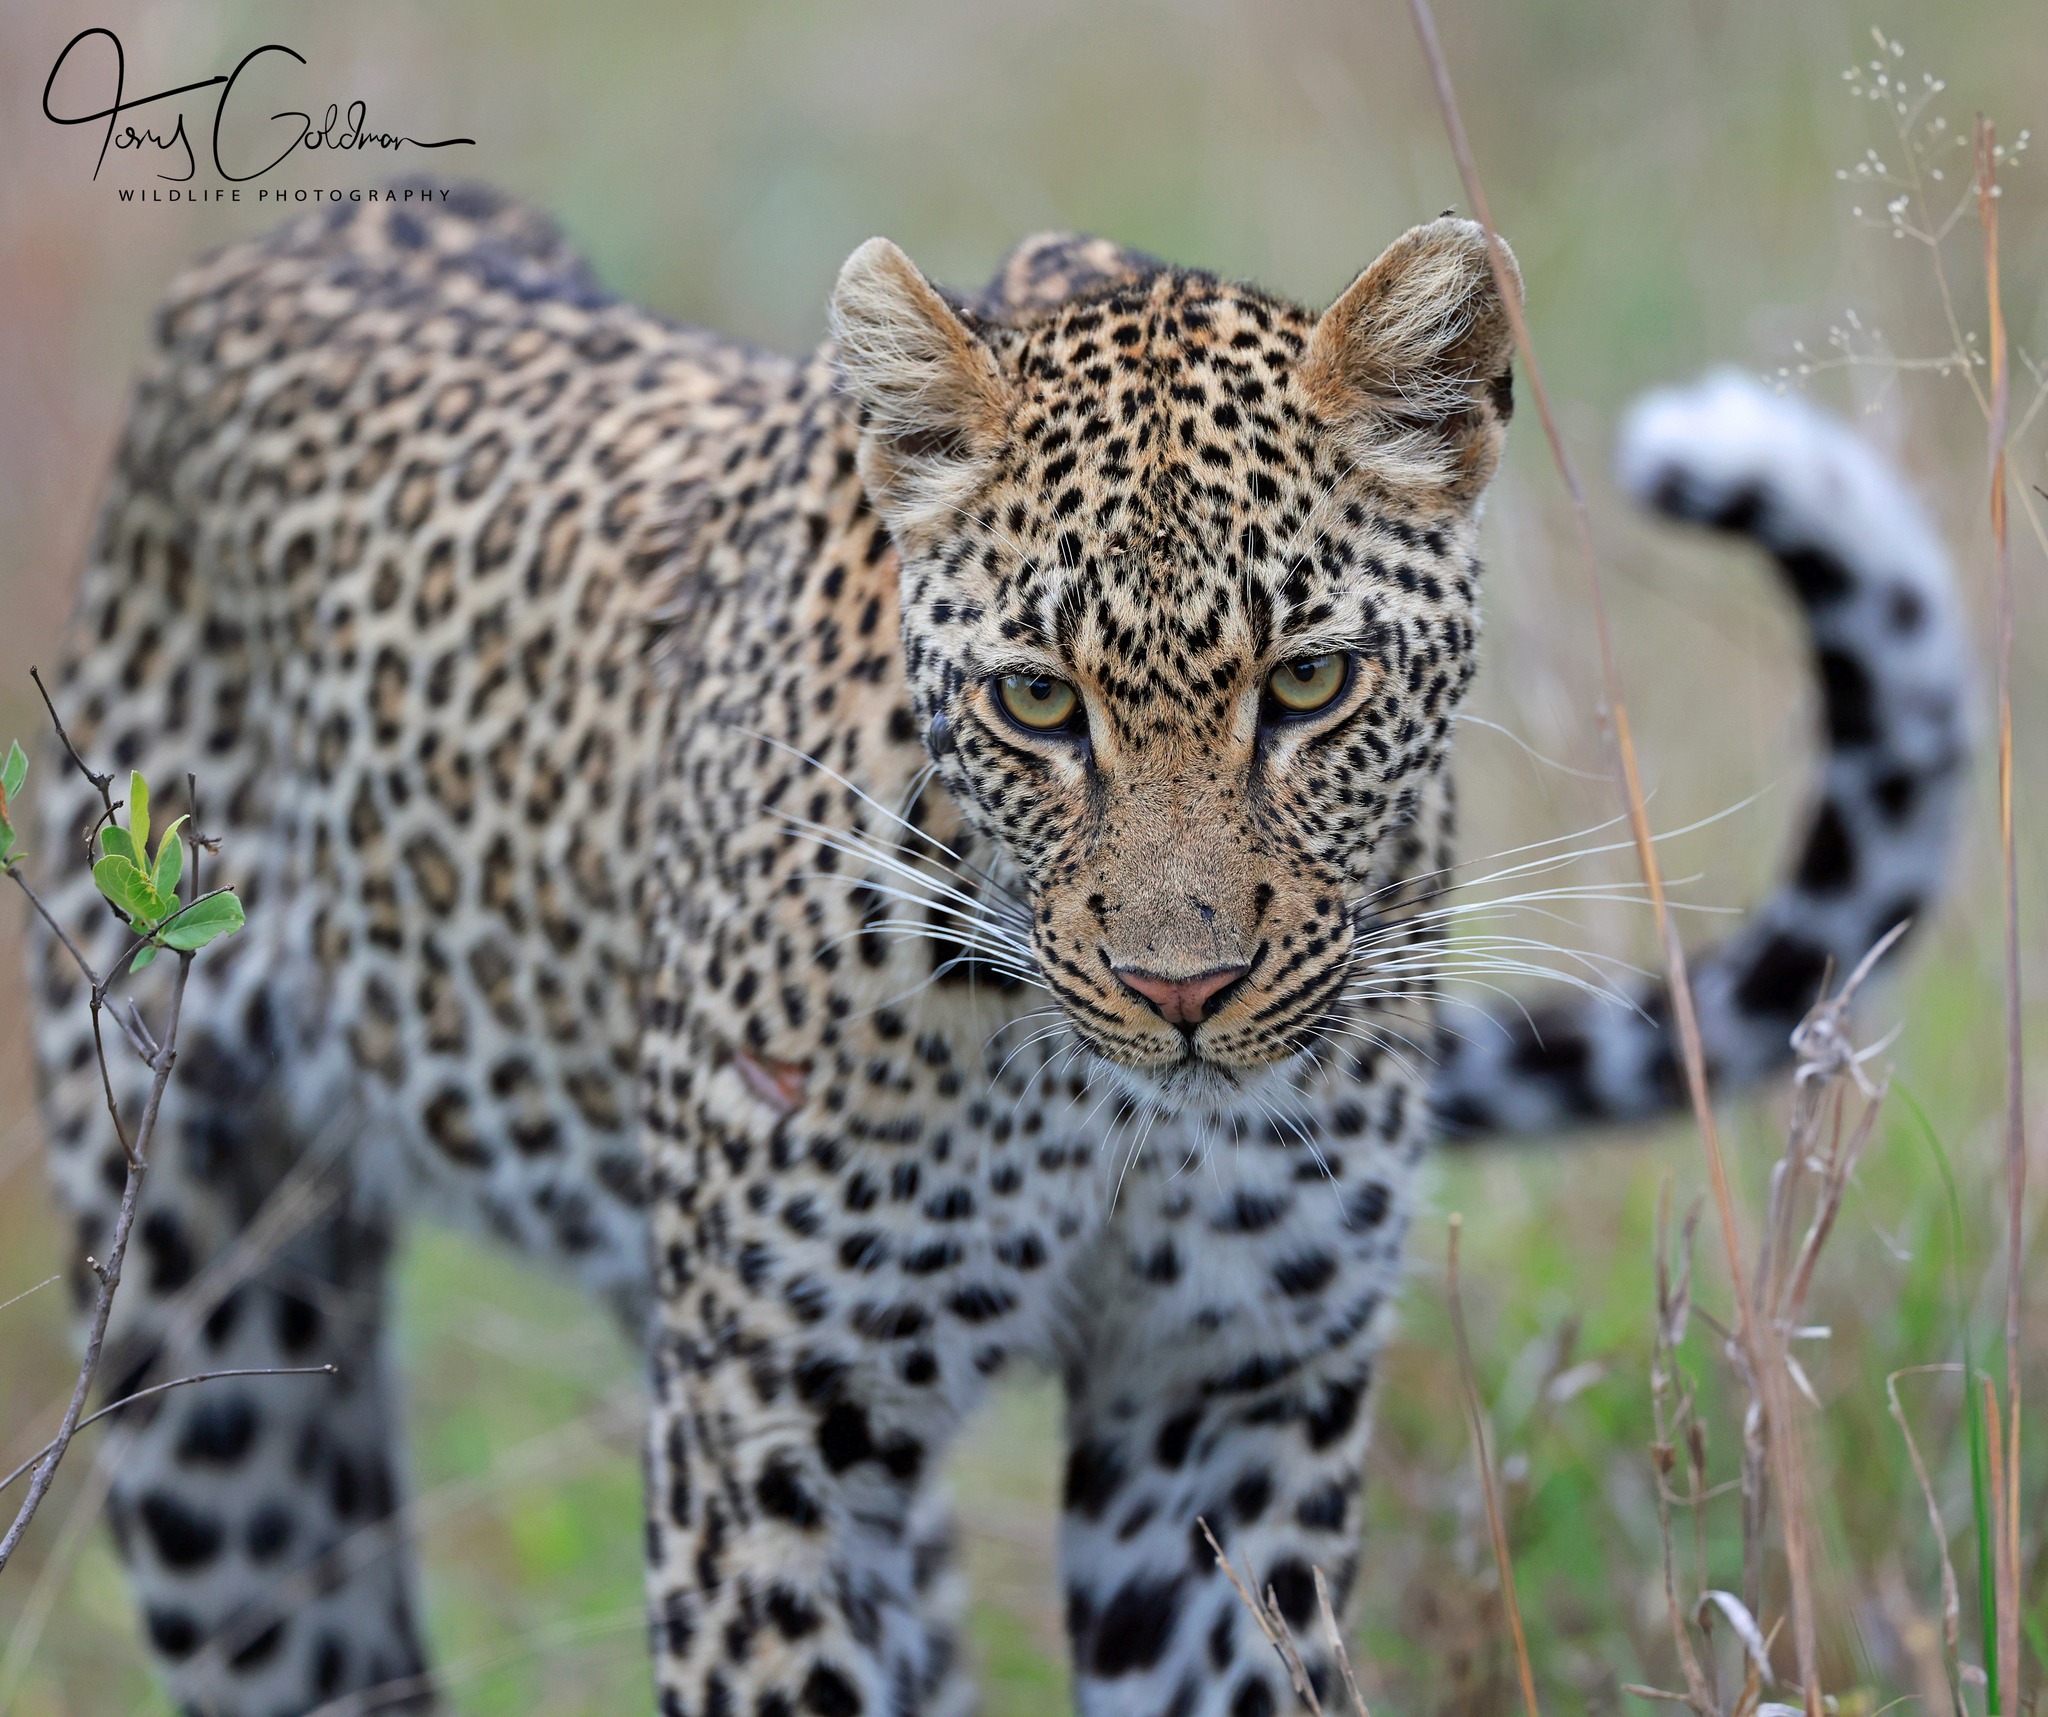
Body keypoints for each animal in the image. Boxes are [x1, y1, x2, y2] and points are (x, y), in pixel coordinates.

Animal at [27, 184, 1971, 1717]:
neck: (1090, 1097)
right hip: (213, 1360)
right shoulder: (770, 1425)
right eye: (1041, 703)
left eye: (1310, 683)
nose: (1184, 993)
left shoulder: (1225, 1394)